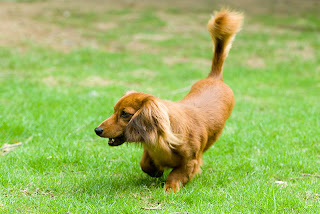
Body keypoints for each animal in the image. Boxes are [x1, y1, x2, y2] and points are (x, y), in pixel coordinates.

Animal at [94, 8, 242, 192]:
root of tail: (214, 77)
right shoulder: (149, 151)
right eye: (114, 110)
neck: (164, 140)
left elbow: (177, 174)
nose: (97, 130)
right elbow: (145, 164)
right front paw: (156, 170)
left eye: (125, 114)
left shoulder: (191, 161)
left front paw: (170, 188)